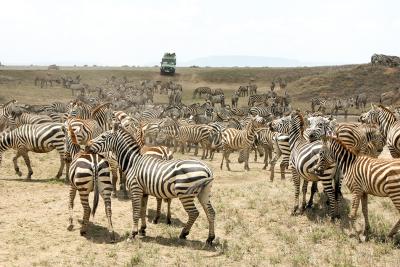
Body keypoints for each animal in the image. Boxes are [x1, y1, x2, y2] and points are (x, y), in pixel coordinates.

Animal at [85, 125, 216, 245]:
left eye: (103, 136)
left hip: (185, 194)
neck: (133, 162)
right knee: (211, 213)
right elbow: (143, 210)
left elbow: (136, 212)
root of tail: (207, 169)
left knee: (194, 213)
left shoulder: (135, 189)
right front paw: (142, 230)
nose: (86, 146)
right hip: (204, 193)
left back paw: (184, 233)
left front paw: (133, 234)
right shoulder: (144, 192)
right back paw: (210, 239)